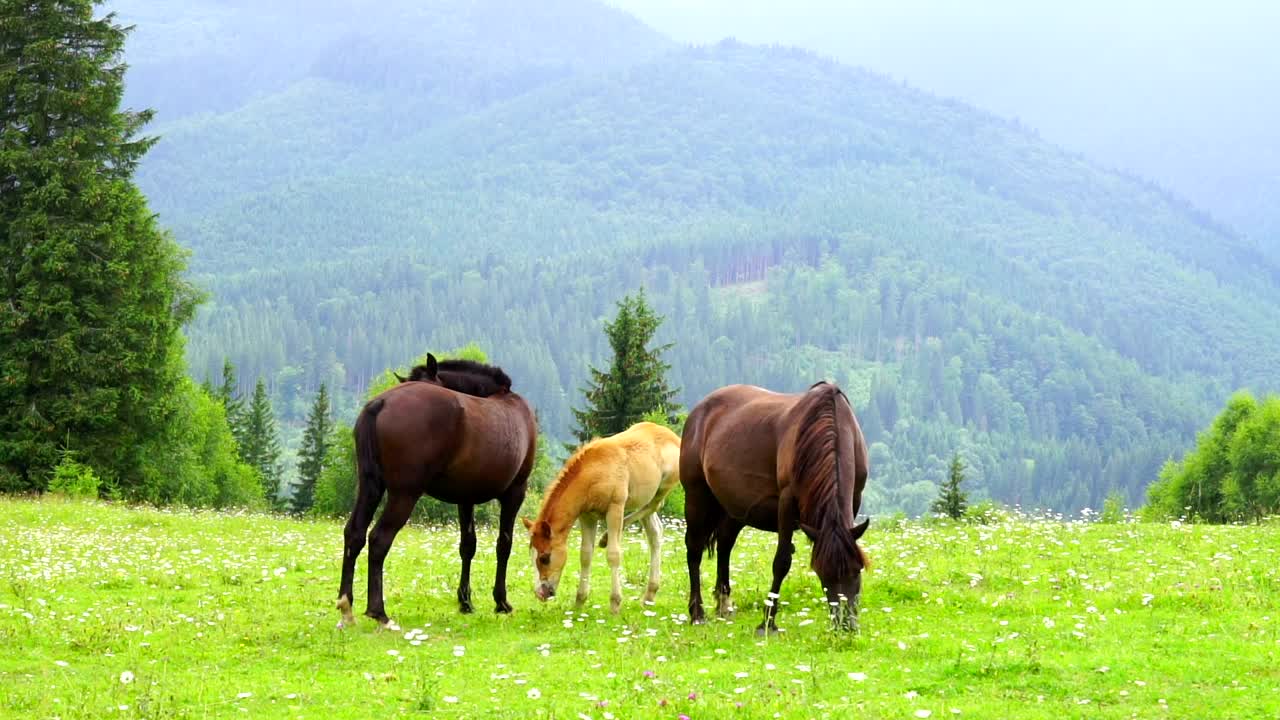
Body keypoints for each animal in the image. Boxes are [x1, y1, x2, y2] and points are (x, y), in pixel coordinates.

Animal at [337, 354, 537, 629]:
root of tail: (381, 402)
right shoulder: (515, 492)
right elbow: (503, 545)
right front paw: (501, 601)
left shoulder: (466, 498)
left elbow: (468, 545)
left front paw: (465, 601)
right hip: (404, 494)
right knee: (379, 539)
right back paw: (379, 612)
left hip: (369, 487)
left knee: (354, 534)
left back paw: (346, 606)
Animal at [522, 421, 680, 613]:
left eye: (545, 557)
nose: (541, 593)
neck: (593, 472)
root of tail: (672, 436)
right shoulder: (587, 516)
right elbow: (585, 555)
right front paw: (579, 601)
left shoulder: (615, 508)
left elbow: (614, 554)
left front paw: (615, 603)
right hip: (643, 495)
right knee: (655, 531)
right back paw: (649, 595)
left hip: (664, 486)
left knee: (654, 505)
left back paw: (606, 538)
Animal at [681, 382, 870, 635]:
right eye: (823, 574)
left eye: (857, 570)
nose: (845, 626)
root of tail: (698, 411)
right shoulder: (787, 502)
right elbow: (781, 562)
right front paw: (767, 622)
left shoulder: (855, 499)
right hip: (696, 496)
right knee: (694, 549)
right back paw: (697, 613)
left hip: (734, 508)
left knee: (724, 545)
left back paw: (723, 606)